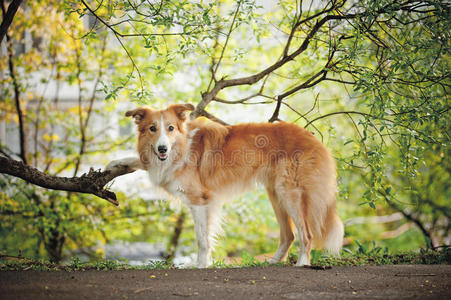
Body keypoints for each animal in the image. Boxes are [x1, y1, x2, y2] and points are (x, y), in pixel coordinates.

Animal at [107, 103, 344, 268]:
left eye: (171, 128)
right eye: (152, 128)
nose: (162, 149)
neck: (181, 148)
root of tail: (311, 137)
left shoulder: (200, 201)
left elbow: (202, 239)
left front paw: (201, 265)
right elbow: (140, 160)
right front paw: (114, 164)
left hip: (290, 194)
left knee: (306, 234)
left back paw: (303, 263)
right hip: (276, 195)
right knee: (289, 235)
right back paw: (274, 261)